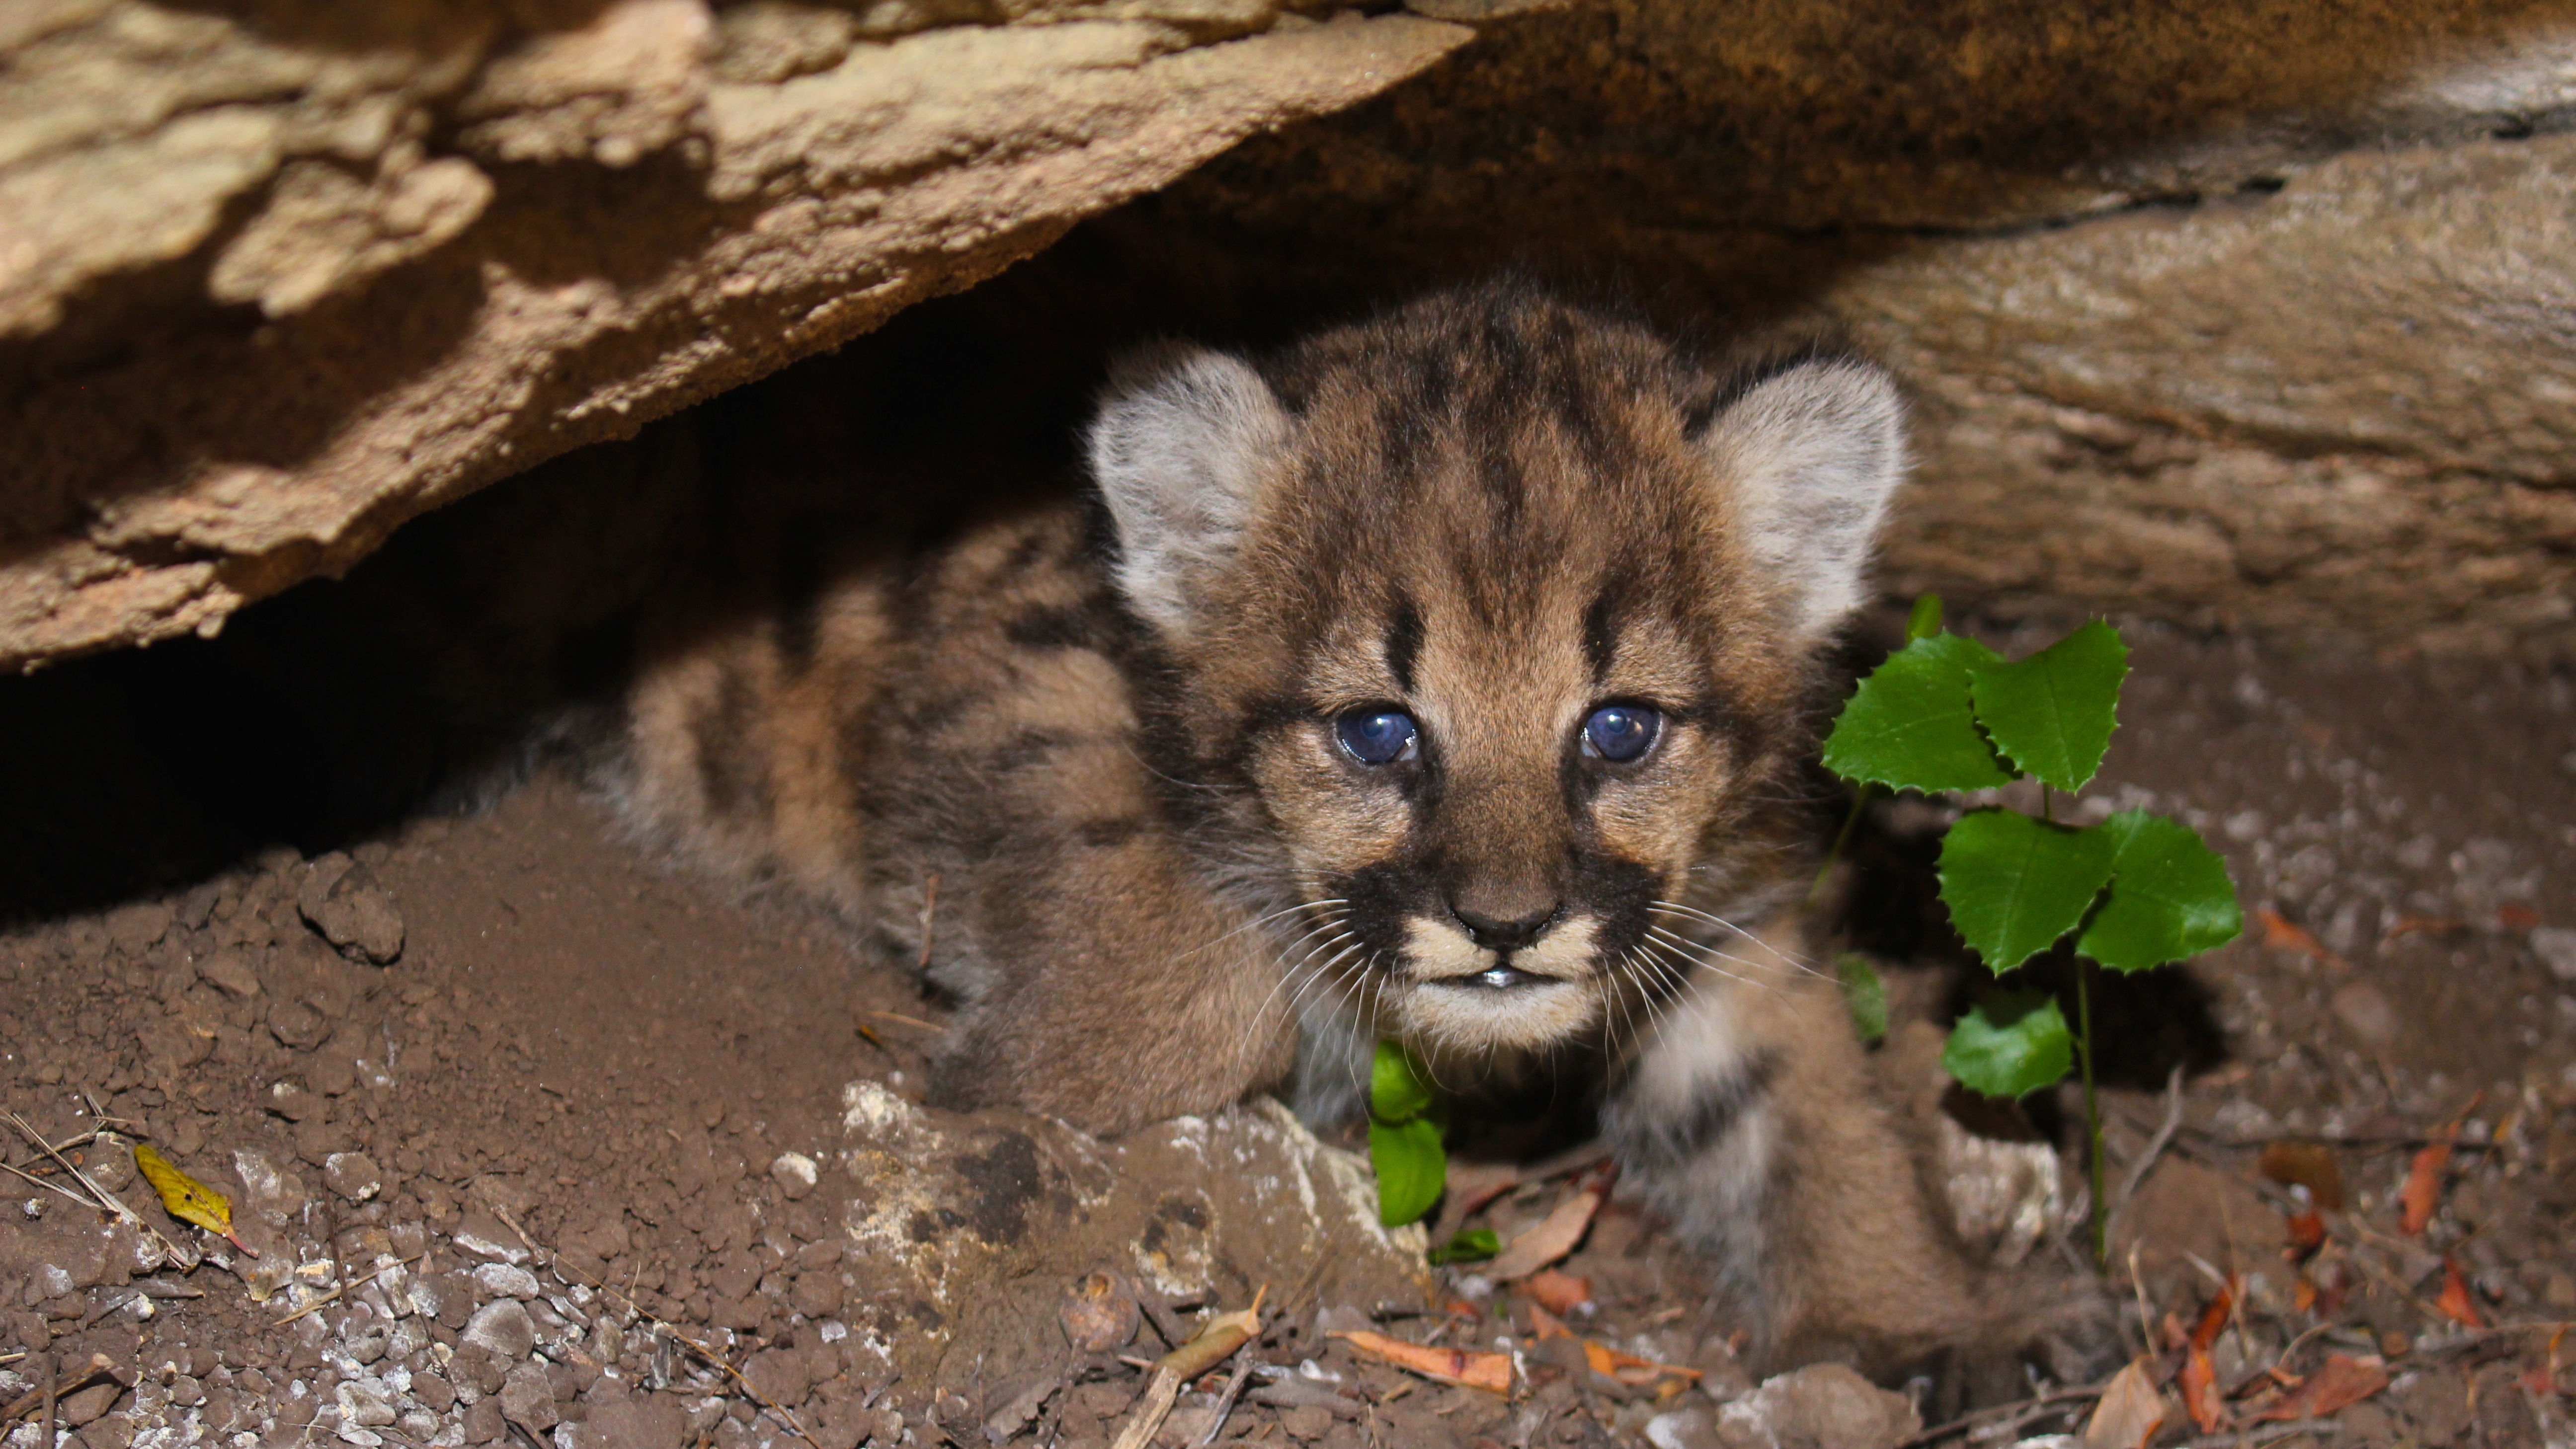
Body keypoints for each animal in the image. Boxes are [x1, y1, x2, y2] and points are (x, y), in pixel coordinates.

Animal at [613, 283, 2102, 1379]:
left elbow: (1817, 1096)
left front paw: (1919, 1309)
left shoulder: (1716, 916)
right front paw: (1012, 1087)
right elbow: (1195, 968)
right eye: (1378, 733)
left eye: (1619, 730)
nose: (1506, 921)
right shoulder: (1018, 660)